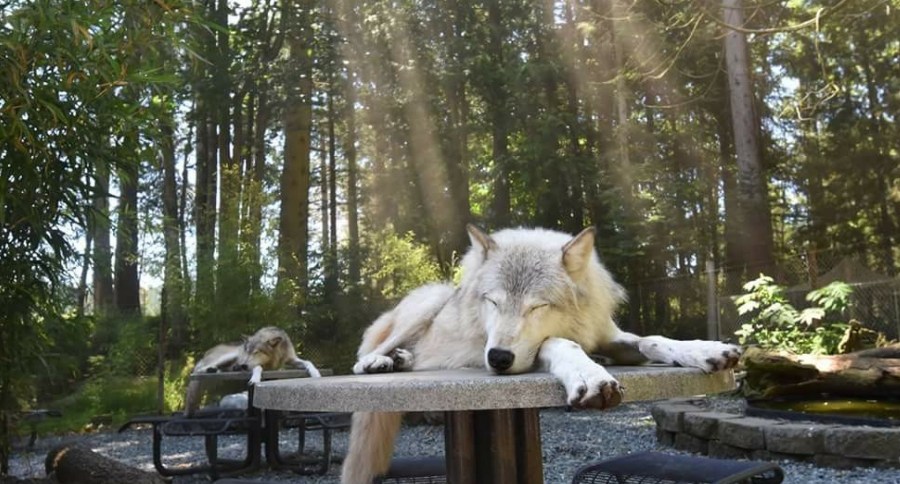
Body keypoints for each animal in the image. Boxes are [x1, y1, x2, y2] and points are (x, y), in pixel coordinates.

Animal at [184, 326, 321, 415]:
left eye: (256, 352)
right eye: (247, 351)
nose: (243, 365)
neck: (274, 358)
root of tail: (208, 351)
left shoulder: (291, 359)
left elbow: (309, 362)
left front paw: (316, 373)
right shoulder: (253, 364)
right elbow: (257, 367)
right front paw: (254, 379)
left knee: (221, 369)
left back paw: (222, 369)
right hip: (229, 356)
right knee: (199, 370)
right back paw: (212, 369)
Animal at [341, 225, 742, 483]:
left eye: (537, 306)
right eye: (493, 302)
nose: (498, 359)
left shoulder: (607, 337)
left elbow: (653, 340)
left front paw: (705, 349)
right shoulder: (530, 348)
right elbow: (557, 343)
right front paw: (590, 376)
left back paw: (401, 360)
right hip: (428, 304)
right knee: (365, 355)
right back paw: (378, 362)